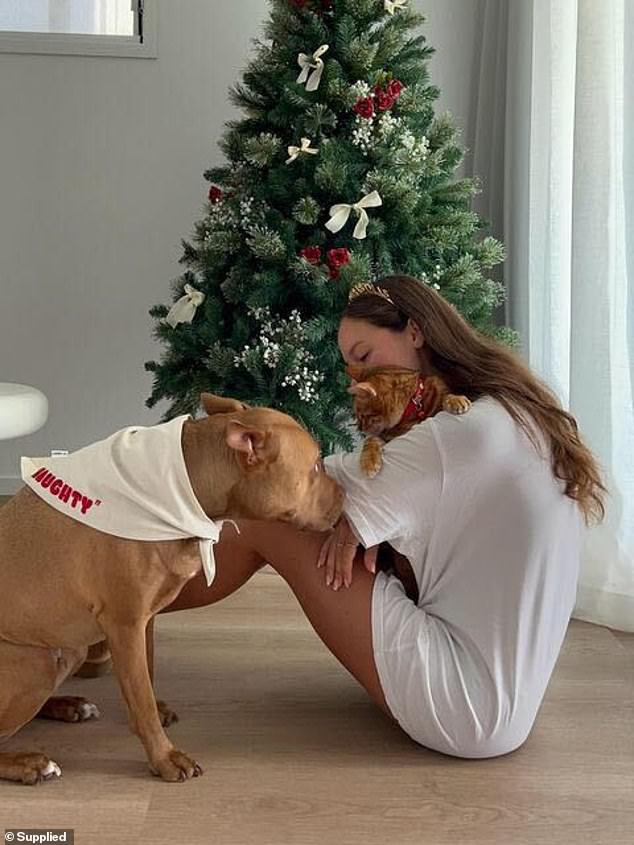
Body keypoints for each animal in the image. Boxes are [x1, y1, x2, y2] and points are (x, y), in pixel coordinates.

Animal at [0, 396, 340, 784]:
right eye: (316, 466)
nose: (347, 493)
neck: (187, 487)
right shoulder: (125, 623)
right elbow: (141, 699)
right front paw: (165, 757)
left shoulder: (144, 619)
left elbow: (145, 678)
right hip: (37, 662)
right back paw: (30, 762)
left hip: (69, 648)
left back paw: (68, 705)